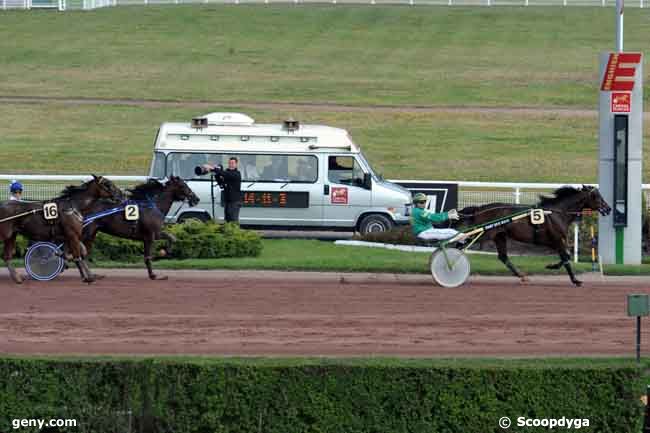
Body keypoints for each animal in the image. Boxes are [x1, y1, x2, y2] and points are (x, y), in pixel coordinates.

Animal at [458, 184, 612, 286]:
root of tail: (479, 209)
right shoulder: (556, 240)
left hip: (499, 236)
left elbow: (566, 256)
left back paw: (522, 276)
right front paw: (575, 280)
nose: (608, 208)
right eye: (596, 196)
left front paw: (552, 266)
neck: (557, 213)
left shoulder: (555, 241)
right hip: (484, 234)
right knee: (461, 246)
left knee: (503, 257)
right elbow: (566, 258)